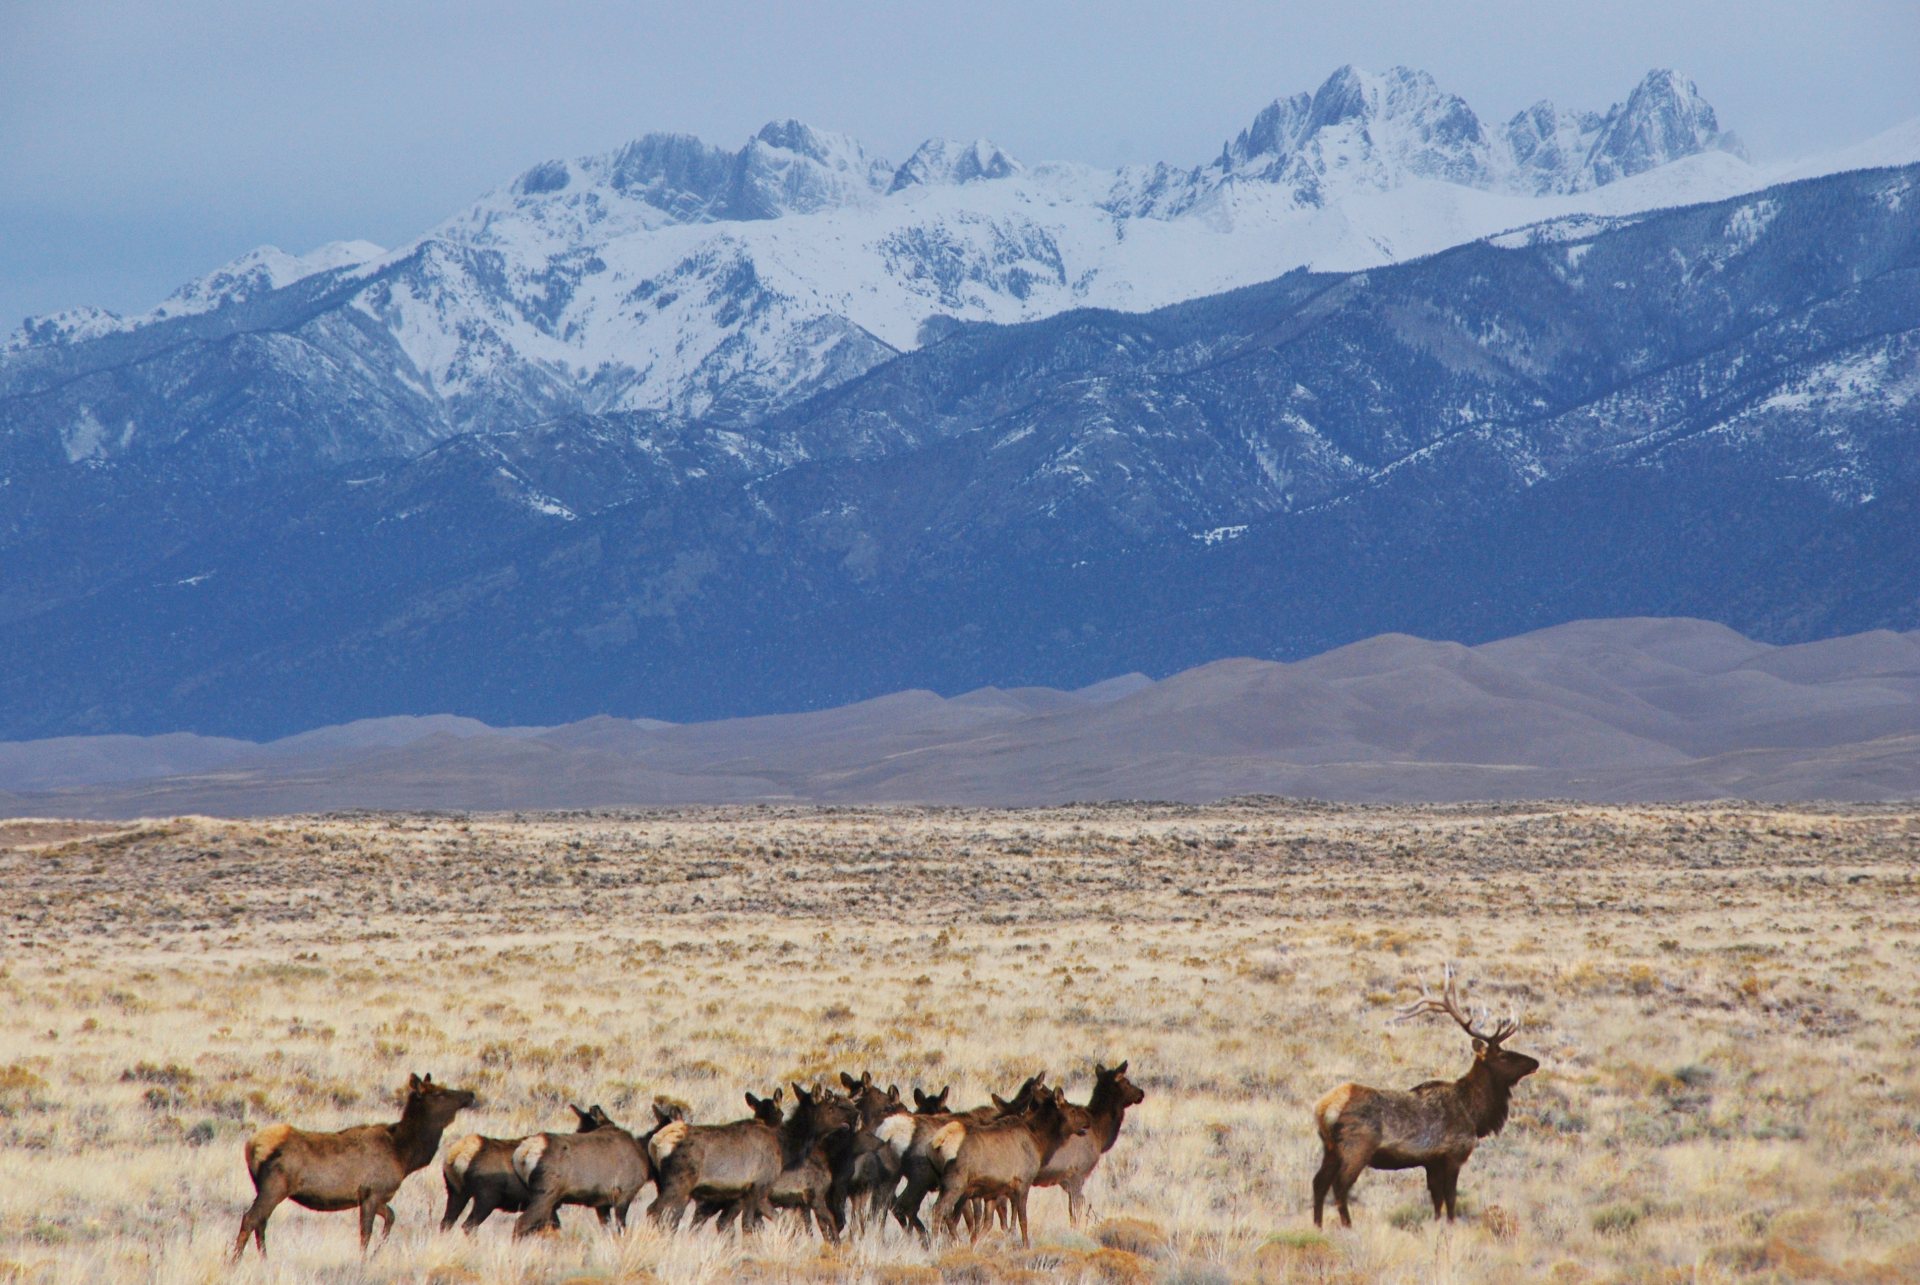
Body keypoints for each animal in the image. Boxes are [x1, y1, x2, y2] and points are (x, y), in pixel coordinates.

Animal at [232, 1067, 476, 1260]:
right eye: (439, 1093)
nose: (470, 1094)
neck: (404, 1155)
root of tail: (250, 1147)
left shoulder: (375, 1196)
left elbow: (391, 1217)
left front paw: (377, 1252)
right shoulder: (371, 1192)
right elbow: (365, 1233)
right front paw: (364, 1259)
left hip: (265, 1188)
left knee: (261, 1222)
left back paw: (264, 1259)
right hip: (275, 1186)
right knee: (251, 1218)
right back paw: (234, 1261)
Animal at [439, 1098, 606, 1229]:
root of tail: (459, 1155)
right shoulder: (548, 1203)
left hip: (456, 1192)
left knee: (446, 1222)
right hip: (486, 1197)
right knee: (468, 1225)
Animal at [514, 1098, 687, 1236]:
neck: (645, 1156)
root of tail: (522, 1153)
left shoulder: (602, 1204)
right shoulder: (624, 1195)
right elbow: (621, 1229)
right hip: (545, 1195)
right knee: (521, 1223)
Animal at [929, 1083, 1098, 1244]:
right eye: (1072, 1110)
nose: (1089, 1119)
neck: (1039, 1142)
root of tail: (939, 1141)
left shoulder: (993, 1191)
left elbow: (987, 1224)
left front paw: (975, 1244)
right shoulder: (1023, 1182)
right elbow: (1022, 1221)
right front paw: (1026, 1245)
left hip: (946, 1185)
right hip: (955, 1184)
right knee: (939, 1210)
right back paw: (935, 1243)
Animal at [1305, 968, 1543, 1229]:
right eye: (1503, 1055)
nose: (1535, 1062)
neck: (1474, 1114)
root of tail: (1324, 1109)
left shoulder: (1431, 1161)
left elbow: (1436, 1200)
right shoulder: (1453, 1154)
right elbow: (1450, 1197)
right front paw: (1450, 1225)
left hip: (1330, 1148)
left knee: (1318, 1182)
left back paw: (1317, 1226)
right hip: (1356, 1146)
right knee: (1340, 1186)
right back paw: (1348, 1226)